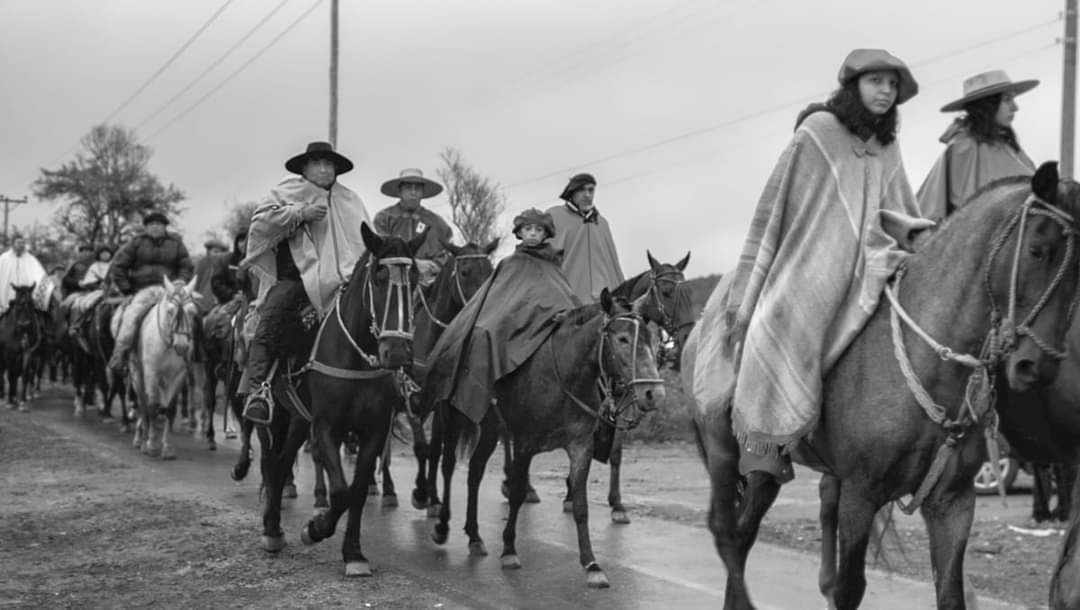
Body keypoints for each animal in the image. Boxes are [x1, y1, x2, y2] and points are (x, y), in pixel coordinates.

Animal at [117, 274, 201, 457]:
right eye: (170, 311)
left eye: (192, 312)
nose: (182, 346)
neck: (168, 345)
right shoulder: (151, 373)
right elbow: (152, 405)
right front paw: (151, 444)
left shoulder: (178, 376)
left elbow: (169, 408)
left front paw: (167, 447)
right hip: (137, 374)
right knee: (143, 402)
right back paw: (141, 438)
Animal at [261, 222, 425, 574]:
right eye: (378, 276)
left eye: (416, 279)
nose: (397, 353)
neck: (355, 358)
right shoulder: (325, 427)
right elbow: (340, 492)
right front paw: (314, 529)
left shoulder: (374, 430)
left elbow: (357, 491)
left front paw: (353, 553)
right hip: (276, 415)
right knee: (272, 462)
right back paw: (270, 529)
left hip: (298, 419)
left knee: (281, 463)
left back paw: (275, 529)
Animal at [429, 291, 665, 591]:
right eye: (622, 339)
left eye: (653, 341)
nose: (654, 394)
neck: (562, 375)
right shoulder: (524, 445)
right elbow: (517, 495)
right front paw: (509, 551)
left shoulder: (580, 446)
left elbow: (581, 506)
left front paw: (592, 564)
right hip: (452, 416)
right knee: (447, 464)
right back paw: (441, 526)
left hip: (491, 429)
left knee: (474, 472)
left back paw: (475, 536)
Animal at [686, 163, 1080, 608]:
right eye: (1037, 250)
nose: (1037, 367)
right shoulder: (860, 495)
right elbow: (848, 588)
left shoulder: (952, 503)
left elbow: (951, 593)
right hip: (722, 450)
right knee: (728, 533)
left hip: (771, 469)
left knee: (746, 531)